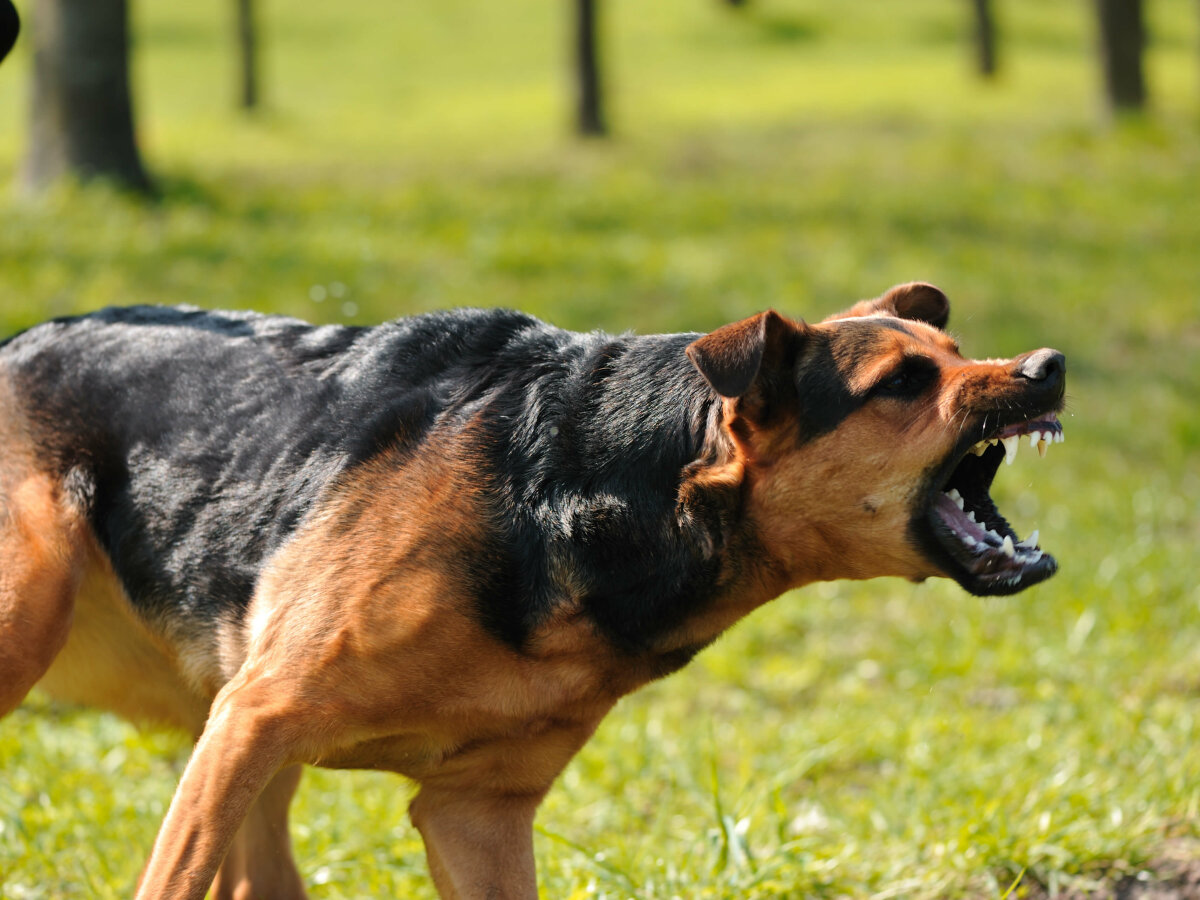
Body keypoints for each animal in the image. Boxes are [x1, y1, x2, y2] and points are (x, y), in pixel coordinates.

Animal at [0, 283, 1070, 900]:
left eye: (958, 352)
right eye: (902, 382)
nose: (1048, 365)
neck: (590, 488)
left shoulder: (475, 813)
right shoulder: (259, 718)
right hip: (56, 631)